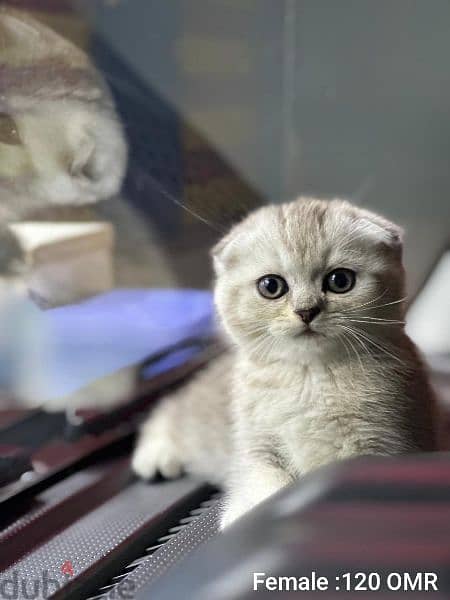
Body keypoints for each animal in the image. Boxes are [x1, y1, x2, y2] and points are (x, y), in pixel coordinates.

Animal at [133, 196, 436, 524]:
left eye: (340, 280)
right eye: (271, 286)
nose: (306, 311)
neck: (309, 376)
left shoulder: (384, 441)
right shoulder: (256, 447)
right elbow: (266, 484)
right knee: (170, 407)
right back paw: (156, 454)